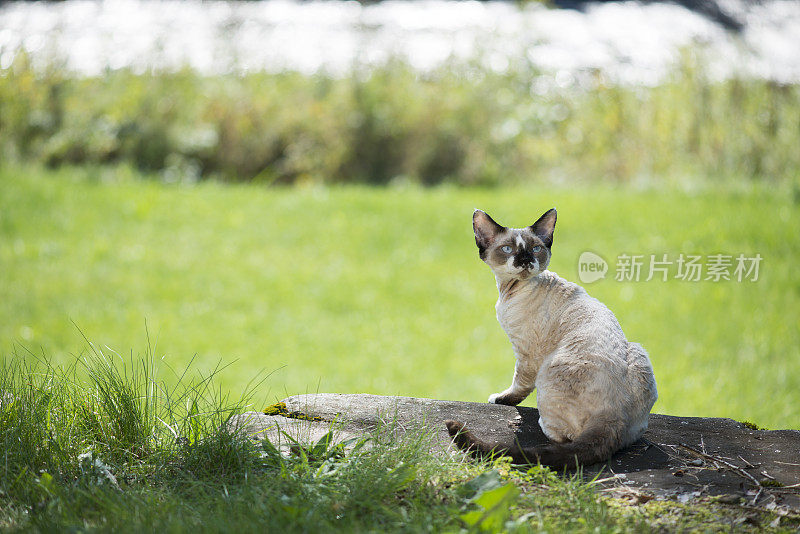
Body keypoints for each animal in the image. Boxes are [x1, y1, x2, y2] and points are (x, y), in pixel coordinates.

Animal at [444, 208, 656, 468]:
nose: (526, 260)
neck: (509, 290)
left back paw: (542, 424)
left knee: (562, 437)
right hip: (639, 351)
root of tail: (615, 415)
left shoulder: (525, 354)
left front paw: (500, 399)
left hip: (548, 369)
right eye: (508, 249)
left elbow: (518, 386)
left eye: (535, 249)